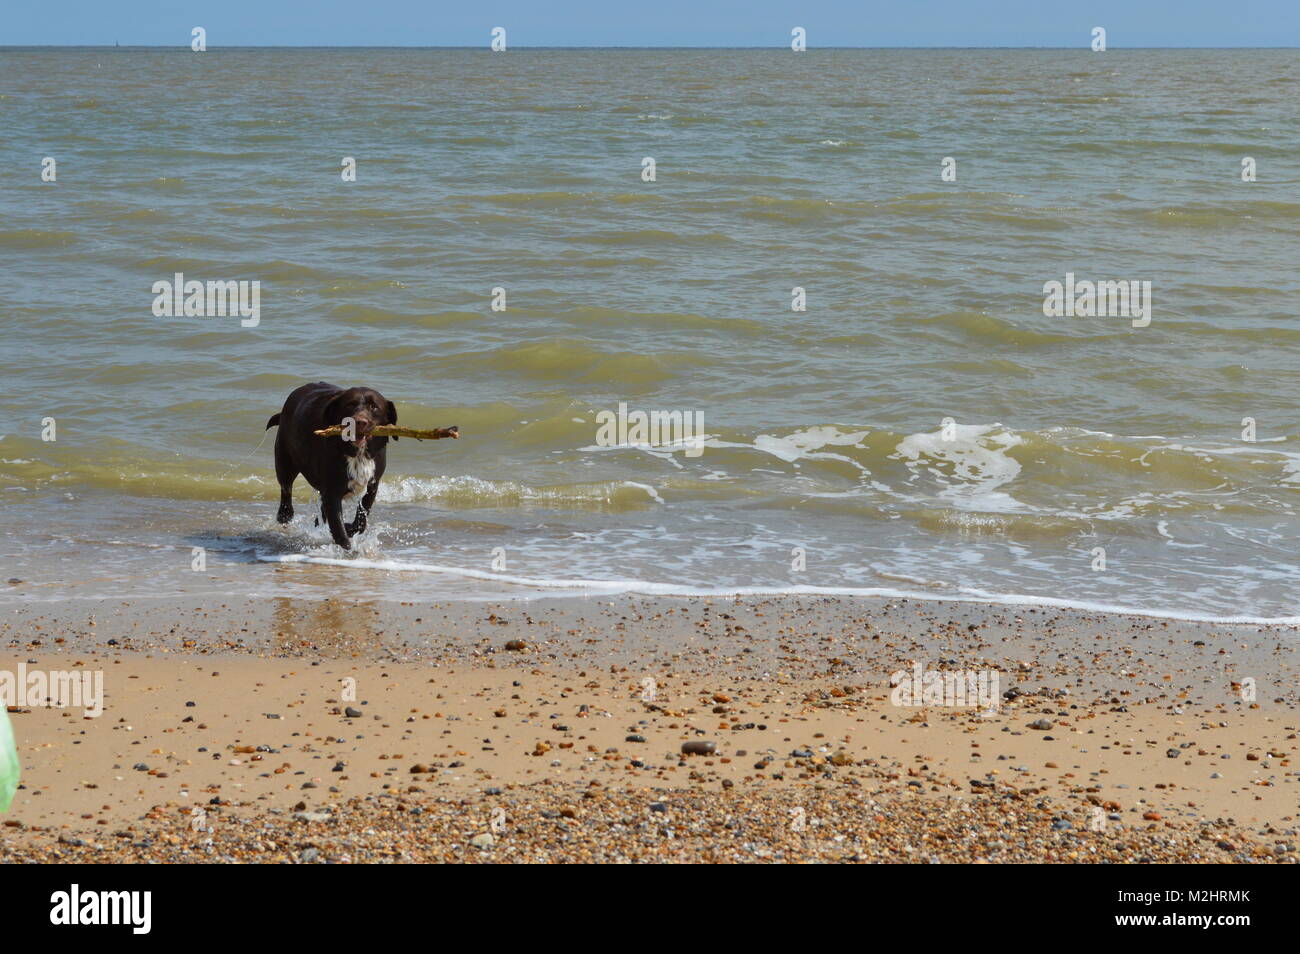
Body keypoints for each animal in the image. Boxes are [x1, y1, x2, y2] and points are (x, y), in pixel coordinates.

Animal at [266, 376, 397, 548]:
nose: (359, 421)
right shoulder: (332, 491)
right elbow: (338, 527)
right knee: (286, 490)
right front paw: (347, 548)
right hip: (284, 462)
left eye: (374, 406)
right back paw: (285, 516)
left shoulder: (372, 486)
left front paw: (349, 529)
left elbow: (361, 520)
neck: (357, 454)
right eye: (350, 404)